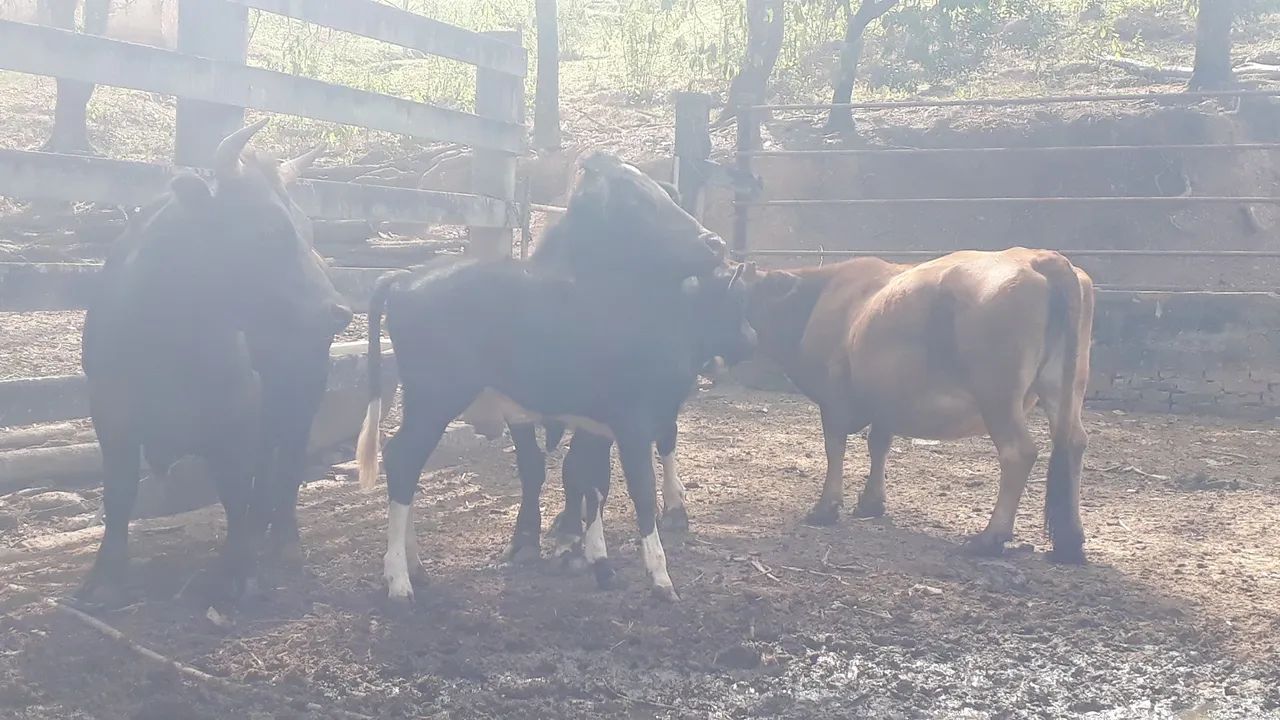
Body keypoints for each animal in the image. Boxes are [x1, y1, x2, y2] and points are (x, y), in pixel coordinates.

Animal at [77, 120, 354, 611]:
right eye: (269, 229)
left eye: (306, 228)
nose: (338, 310)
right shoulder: (111, 413)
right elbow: (119, 493)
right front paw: (105, 577)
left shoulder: (235, 416)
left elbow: (233, 488)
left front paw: (238, 571)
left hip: (305, 390)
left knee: (288, 459)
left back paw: (283, 539)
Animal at [355, 153, 755, 604]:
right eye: (637, 199)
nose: (715, 242)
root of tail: (405, 277)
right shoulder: (634, 424)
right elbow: (639, 492)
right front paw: (659, 576)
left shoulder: (601, 425)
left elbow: (591, 482)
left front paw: (599, 561)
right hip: (436, 398)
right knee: (403, 459)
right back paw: (399, 580)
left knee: (406, 460)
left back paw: (416, 567)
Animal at [739, 248, 1094, 562]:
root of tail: (1040, 258)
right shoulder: (886, 399)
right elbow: (879, 444)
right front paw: (871, 503)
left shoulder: (834, 396)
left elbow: (835, 446)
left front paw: (825, 508)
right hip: (1064, 385)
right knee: (1074, 442)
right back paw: (1070, 542)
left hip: (997, 394)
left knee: (1017, 452)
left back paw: (989, 538)